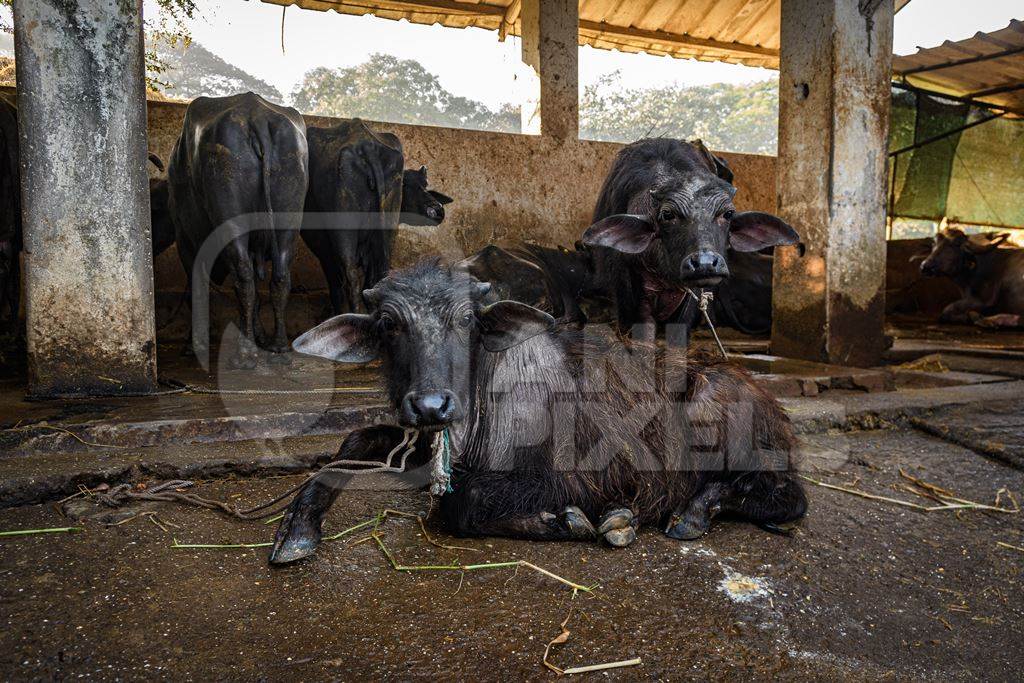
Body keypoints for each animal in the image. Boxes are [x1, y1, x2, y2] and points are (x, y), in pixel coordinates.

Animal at [165, 94, 303, 368]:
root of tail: (257, 116)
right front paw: (260, 336)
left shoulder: (185, 240)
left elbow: (197, 289)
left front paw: (193, 346)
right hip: (289, 215)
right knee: (280, 275)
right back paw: (278, 346)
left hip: (229, 213)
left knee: (243, 275)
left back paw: (245, 353)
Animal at [268, 259, 802, 565]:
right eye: (388, 324)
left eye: (468, 320)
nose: (432, 405)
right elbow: (353, 441)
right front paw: (297, 530)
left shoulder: (569, 477)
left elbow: (462, 502)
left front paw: (571, 523)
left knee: (789, 497)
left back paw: (688, 513)